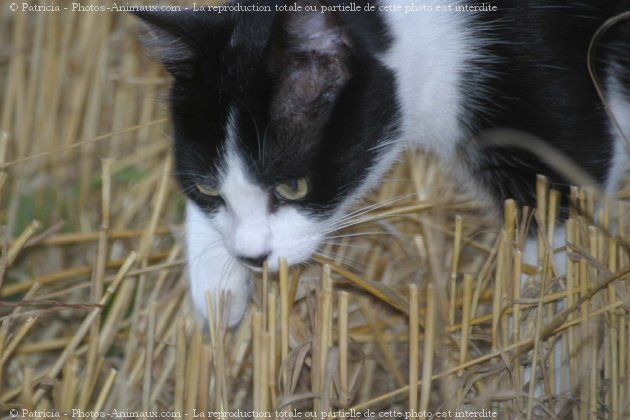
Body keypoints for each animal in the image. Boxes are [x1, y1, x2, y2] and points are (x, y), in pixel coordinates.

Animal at [135, 0, 630, 324]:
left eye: (292, 187)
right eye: (208, 189)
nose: (253, 258)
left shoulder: (554, 99)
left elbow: (558, 234)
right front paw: (216, 284)